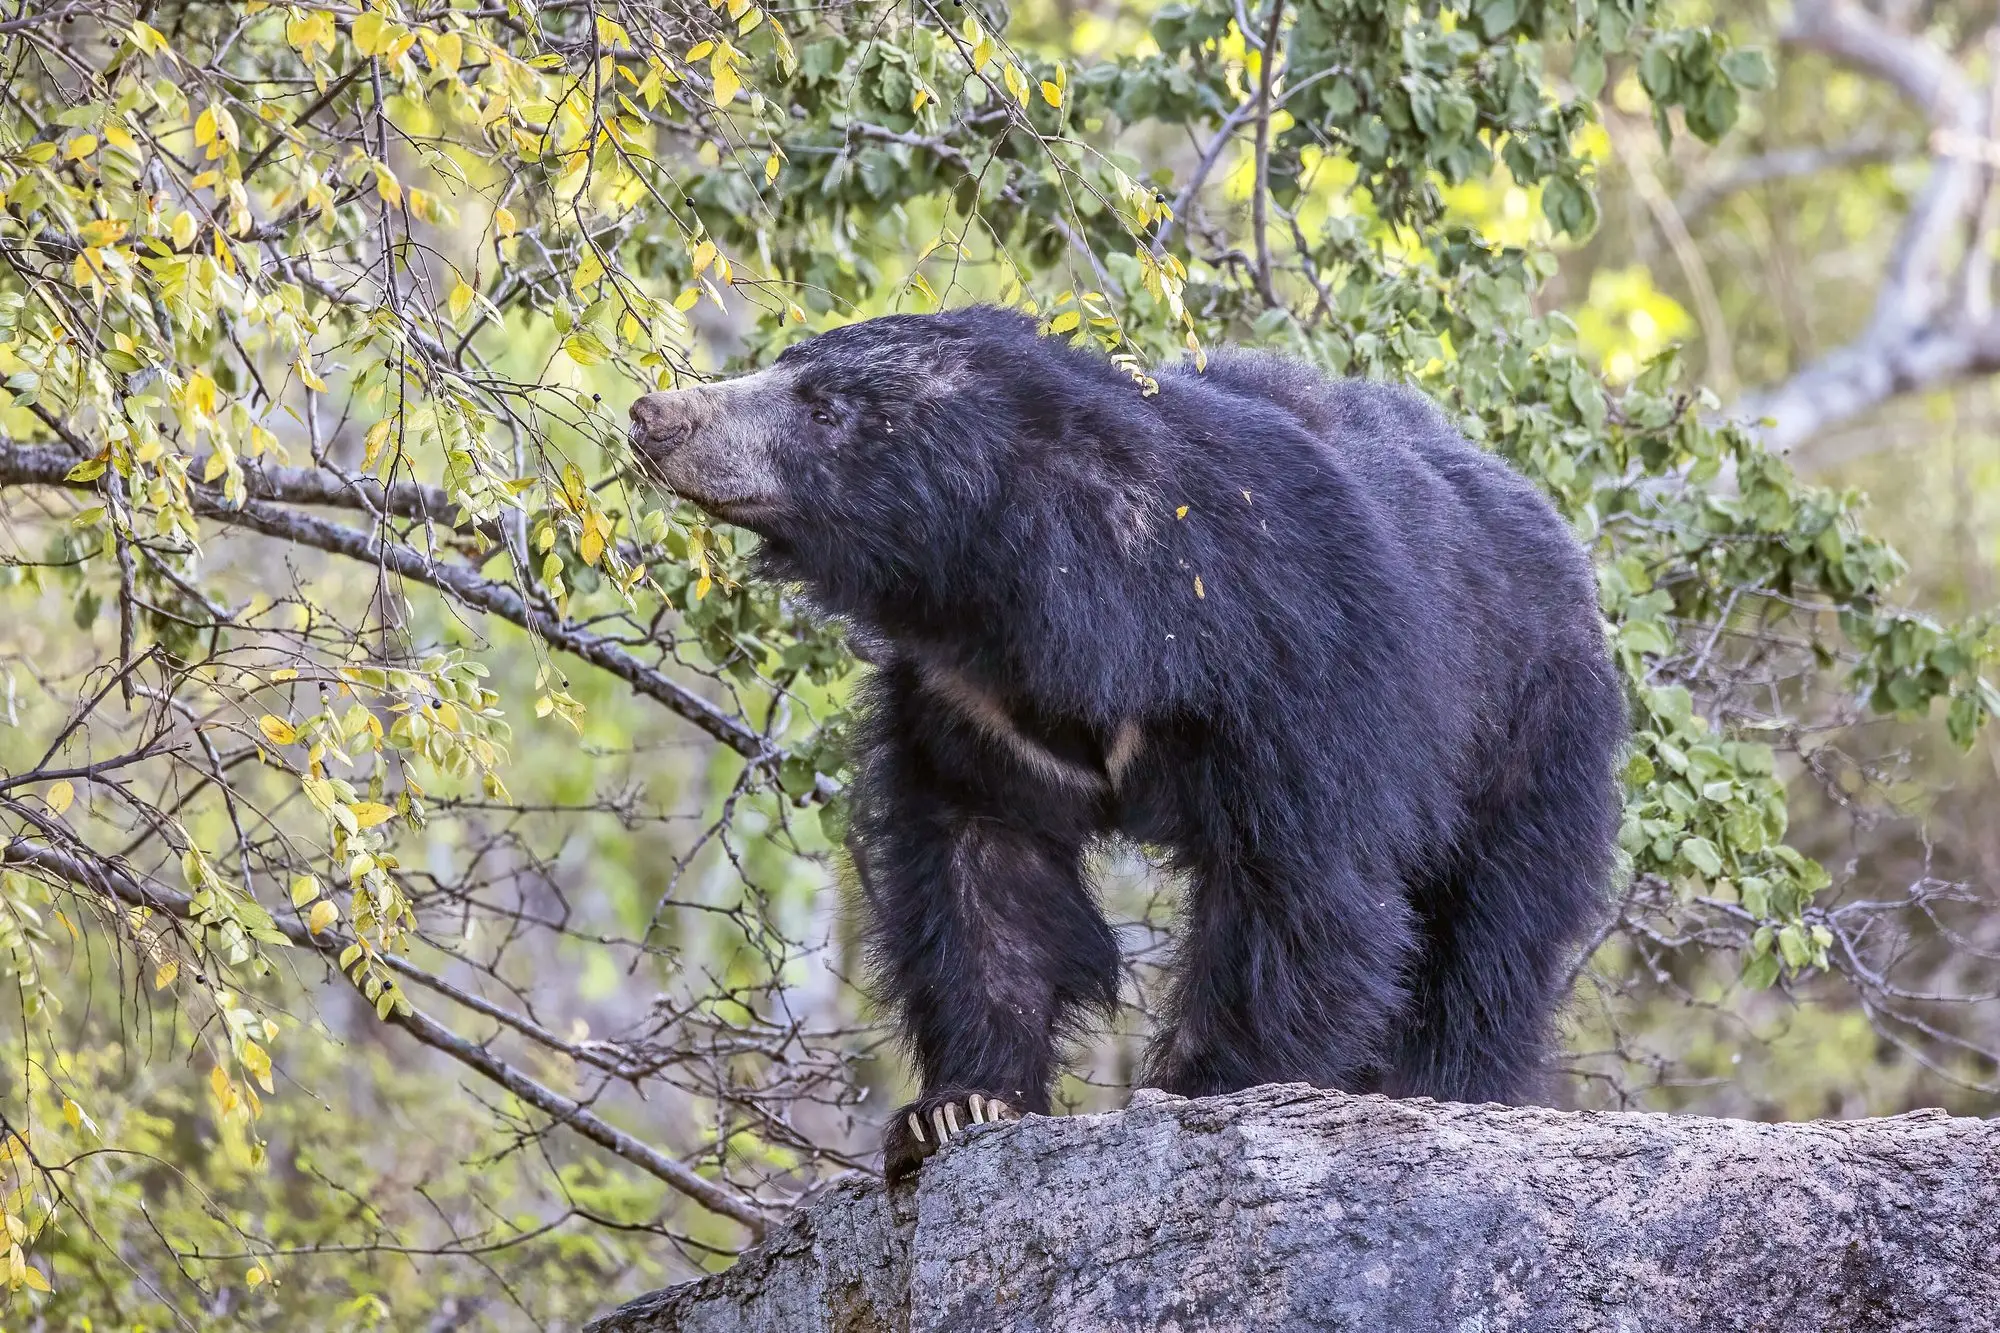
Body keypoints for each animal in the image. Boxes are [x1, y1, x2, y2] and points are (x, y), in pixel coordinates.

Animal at [626, 306, 1625, 1181]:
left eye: (825, 410)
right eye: (785, 367)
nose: (655, 413)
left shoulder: (1295, 663)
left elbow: (1299, 886)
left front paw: (1203, 1087)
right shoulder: (970, 706)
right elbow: (983, 871)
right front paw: (956, 1106)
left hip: (1530, 736)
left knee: (1489, 942)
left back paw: (1448, 1086)